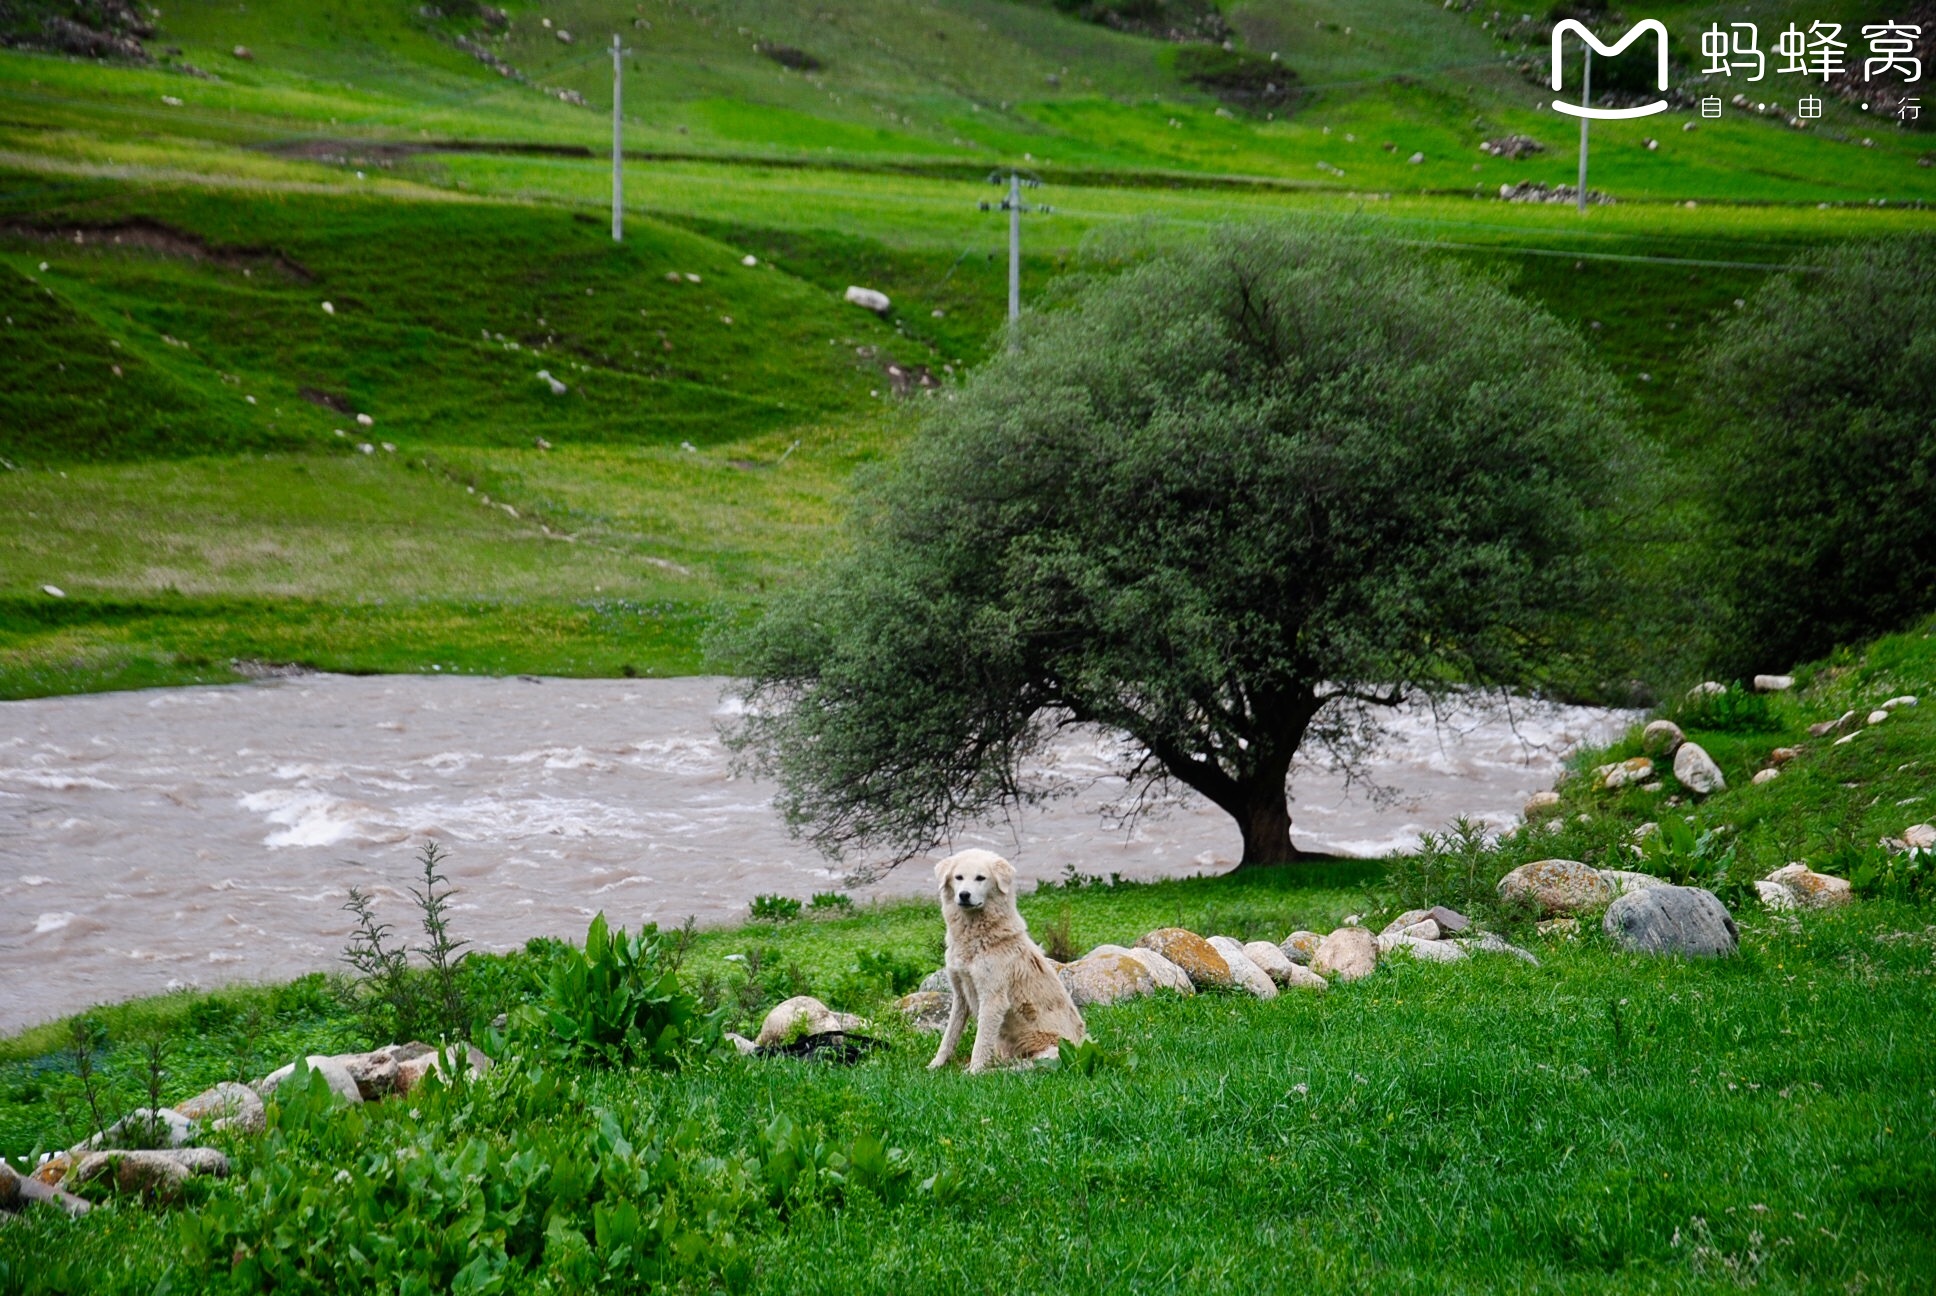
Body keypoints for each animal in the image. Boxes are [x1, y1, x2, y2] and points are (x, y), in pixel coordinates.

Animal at [925, 844, 1084, 1069]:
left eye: (980, 878)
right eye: (959, 877)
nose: (964, 895)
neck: (975, 939)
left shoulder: (993, 998)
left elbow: (980, 1043)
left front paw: (973, 1071)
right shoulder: (960, 994)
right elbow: (949, 1037)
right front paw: (935, 1066)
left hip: (1050, 1053)